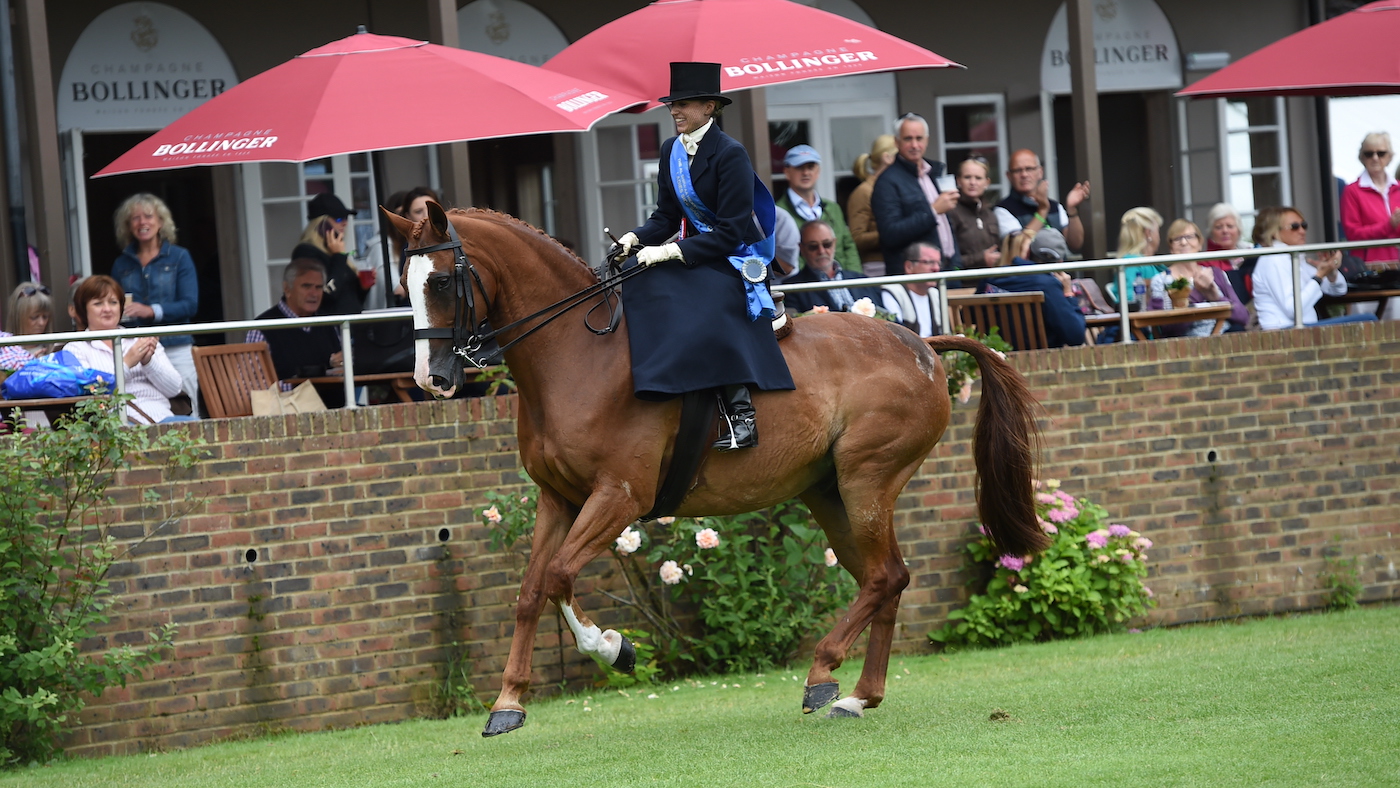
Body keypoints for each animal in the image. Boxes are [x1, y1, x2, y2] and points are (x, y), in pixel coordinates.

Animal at [385, 202, 1048, 737]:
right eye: (402, 284)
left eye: (440, 280)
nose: (431, 380)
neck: (578, 354)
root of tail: (922, 347)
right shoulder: (558, 497)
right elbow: (529, 593)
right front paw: (508, 705)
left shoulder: (620, 496)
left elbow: (559, 576)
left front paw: (614, 649)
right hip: (829, 492)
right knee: (887, 579)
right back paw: (858, 696)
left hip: (868, 480)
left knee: (885, 577)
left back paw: (823, 673)